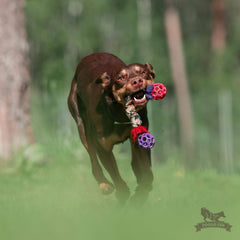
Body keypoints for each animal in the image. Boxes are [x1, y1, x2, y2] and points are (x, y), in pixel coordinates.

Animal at [68, 52, 156, 202]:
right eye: (121, 78)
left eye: (143, 72)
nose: (137, 81)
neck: (120, 113)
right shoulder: (103, 147)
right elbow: (114, 174)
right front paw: (123, 192)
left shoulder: (141, 138)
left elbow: (147, 174)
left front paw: (140, 193)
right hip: (81, 124)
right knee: (93, 159)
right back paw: (104, 184)